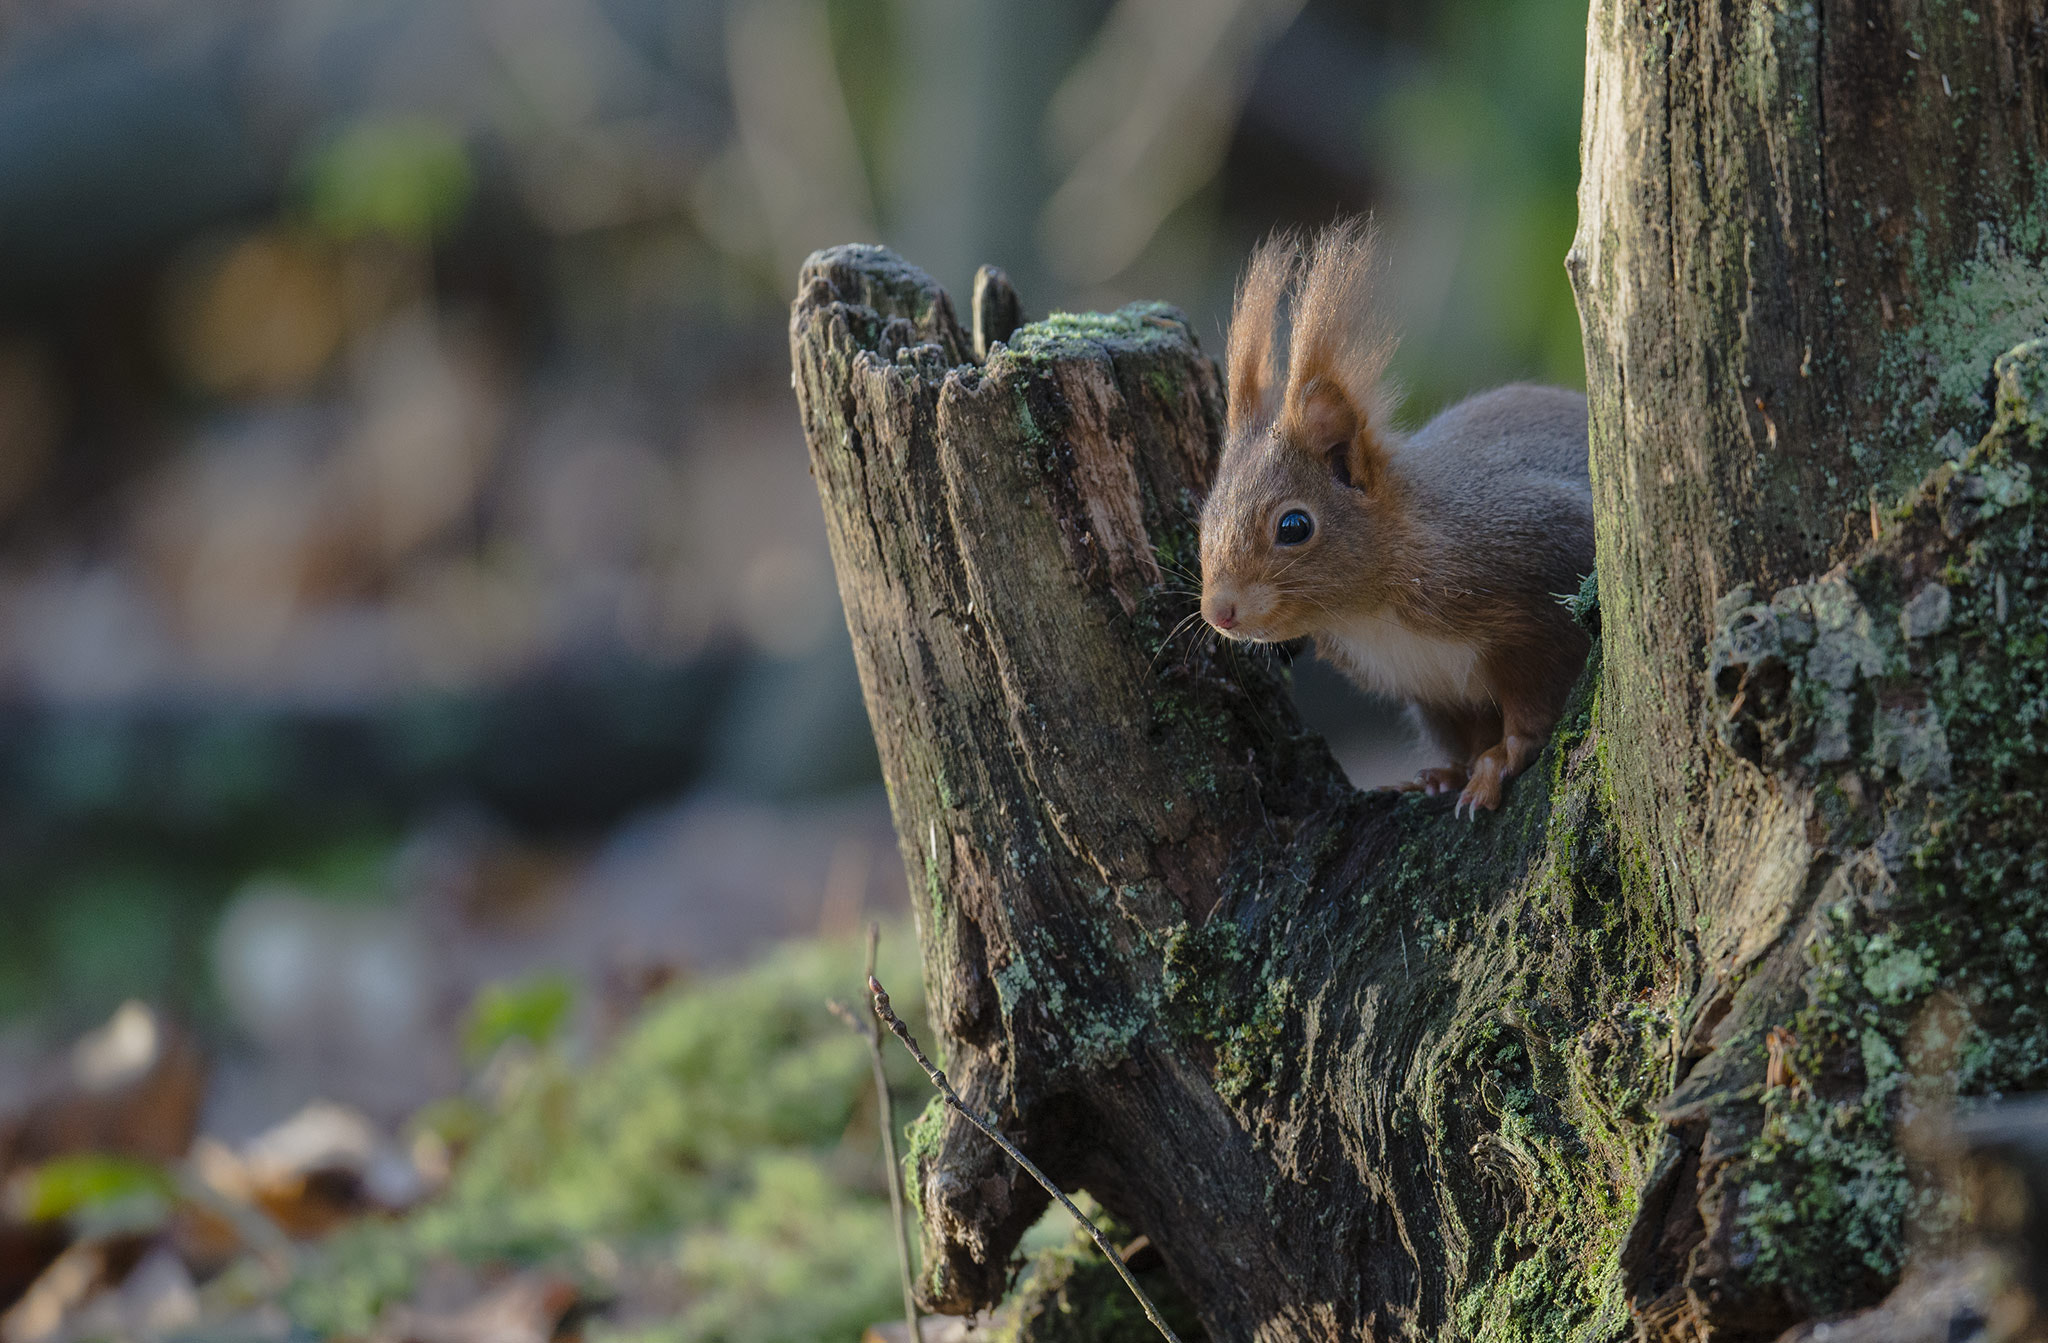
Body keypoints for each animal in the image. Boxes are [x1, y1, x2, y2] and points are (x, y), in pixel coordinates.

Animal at [1196, 220, 1597, 814]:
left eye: (1294, 527)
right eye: (1204, 521)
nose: (1219, 611)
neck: (1367, 612)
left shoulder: (1538, 574)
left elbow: (1532, 707)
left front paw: (1497, 764)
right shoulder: (1432, 693)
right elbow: (1465, 732)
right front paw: (1446, 775)